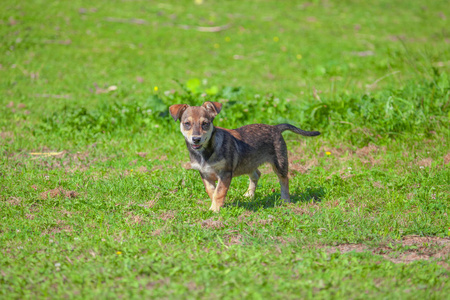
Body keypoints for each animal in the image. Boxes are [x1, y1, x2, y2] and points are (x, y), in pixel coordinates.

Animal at [169, 102, 320, 212]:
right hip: (249, 163)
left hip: (280, 163)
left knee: (284, 180)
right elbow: (212, 191)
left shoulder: (225, 173)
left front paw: (215, 209)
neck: (205, 153)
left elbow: (219, 192)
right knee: (257, 174)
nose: (196, 139)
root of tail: (276, 128)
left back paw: (285, 200)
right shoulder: (205, 175)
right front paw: (216, 205)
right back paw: (249, 195)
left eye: (205, 124)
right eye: (187, 124)